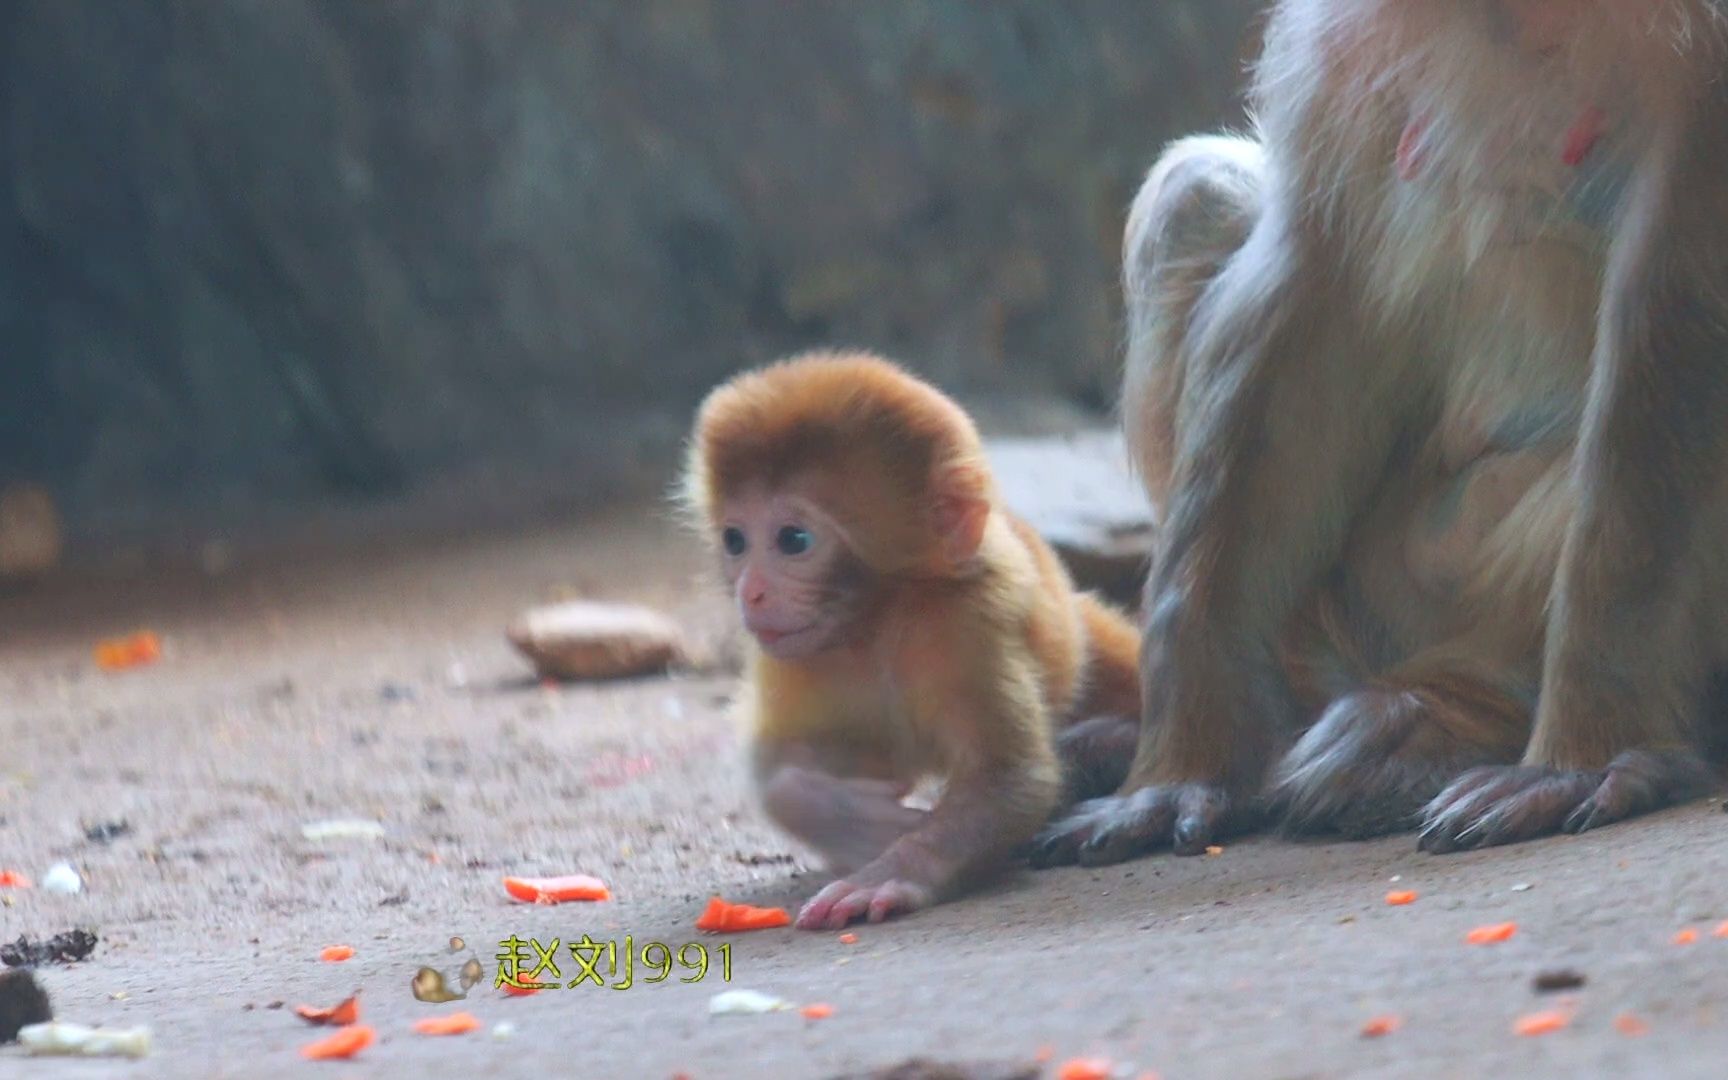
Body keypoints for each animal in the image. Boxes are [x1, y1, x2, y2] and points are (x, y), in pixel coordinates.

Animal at [680, 347, 1140, 926]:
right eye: (735, 540)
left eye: (793, 539)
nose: (752, 592)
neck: (876, 620)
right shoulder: (790, 654)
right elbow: (778, 768)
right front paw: (857, 820)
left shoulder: (968, 622)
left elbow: (1009, 778)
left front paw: (896, 870)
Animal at [1029, 0, 1721, 864]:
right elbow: (1309, 288)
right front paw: (1184, 764)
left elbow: (1675, 316)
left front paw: (1584, 757)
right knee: (1194, 194)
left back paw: (1457, 714)